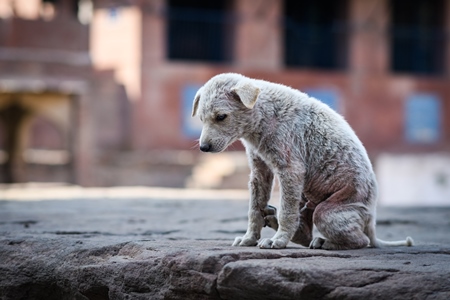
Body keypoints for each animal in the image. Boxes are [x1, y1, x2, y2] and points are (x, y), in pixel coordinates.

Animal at [192, 73, 414, 251]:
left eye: (221, 117)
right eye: (201, 119)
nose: (204, 147)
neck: (264, 115)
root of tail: (372, 221)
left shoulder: (291, 168)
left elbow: (287, 212)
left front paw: (278, 241)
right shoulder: (259, 169)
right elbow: (254, 207)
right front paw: (248, 239)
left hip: (337, 207)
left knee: (360, 240)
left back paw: (326, 243)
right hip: (307, 197)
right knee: (306, 230)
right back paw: (278, 221)